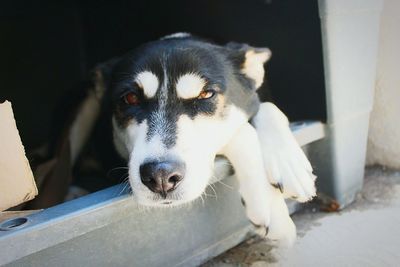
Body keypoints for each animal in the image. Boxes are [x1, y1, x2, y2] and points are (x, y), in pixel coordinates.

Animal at [83, 33, 316, 247]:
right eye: (130, 98)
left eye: (205, 94)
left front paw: (290, 166)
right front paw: (268, 204)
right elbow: (243, 132)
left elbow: (267, 107)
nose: (160, 176)